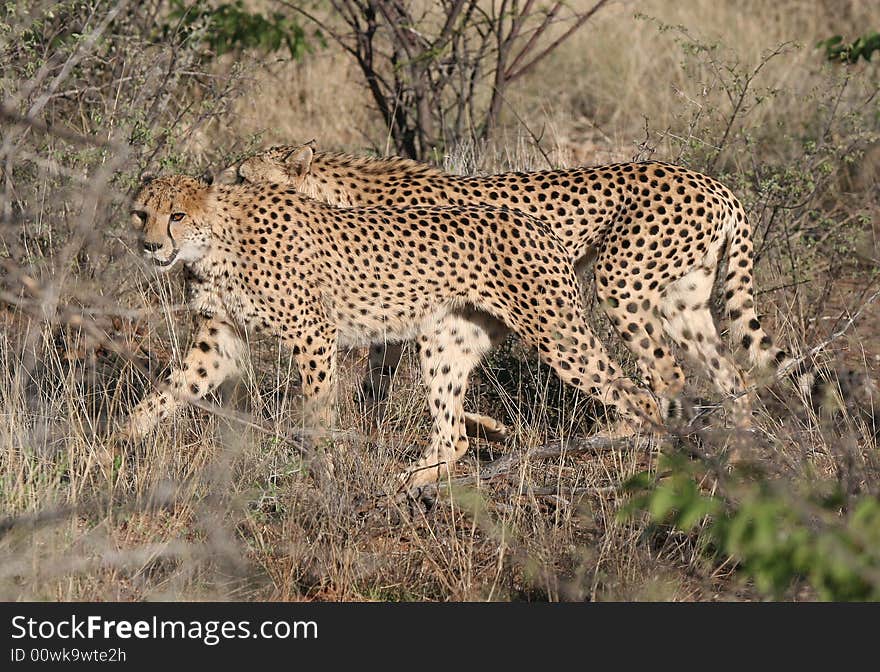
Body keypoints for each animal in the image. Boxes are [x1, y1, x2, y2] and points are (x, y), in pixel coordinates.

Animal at [124, 176, 672, 486]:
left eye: (177, 215)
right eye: (141, 214)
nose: (150, 246)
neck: (215, 241)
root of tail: (534, 222)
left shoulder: (312, 333)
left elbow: (317, 410)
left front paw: (323, 472)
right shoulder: (218, 340)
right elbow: (168, 392)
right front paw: (122, 447)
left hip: (556, 334)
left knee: (639, 393)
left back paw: (641, 452)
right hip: (445, 341)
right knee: (453, 436)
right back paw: (409, 483)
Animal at [223, 144, 844, 420]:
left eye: (242, 177)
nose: (217, 179)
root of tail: (714, 183)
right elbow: (379, 376)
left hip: (620, 281)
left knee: (660, 374)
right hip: (682, 301)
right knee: (730, 375)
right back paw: (738, 455)